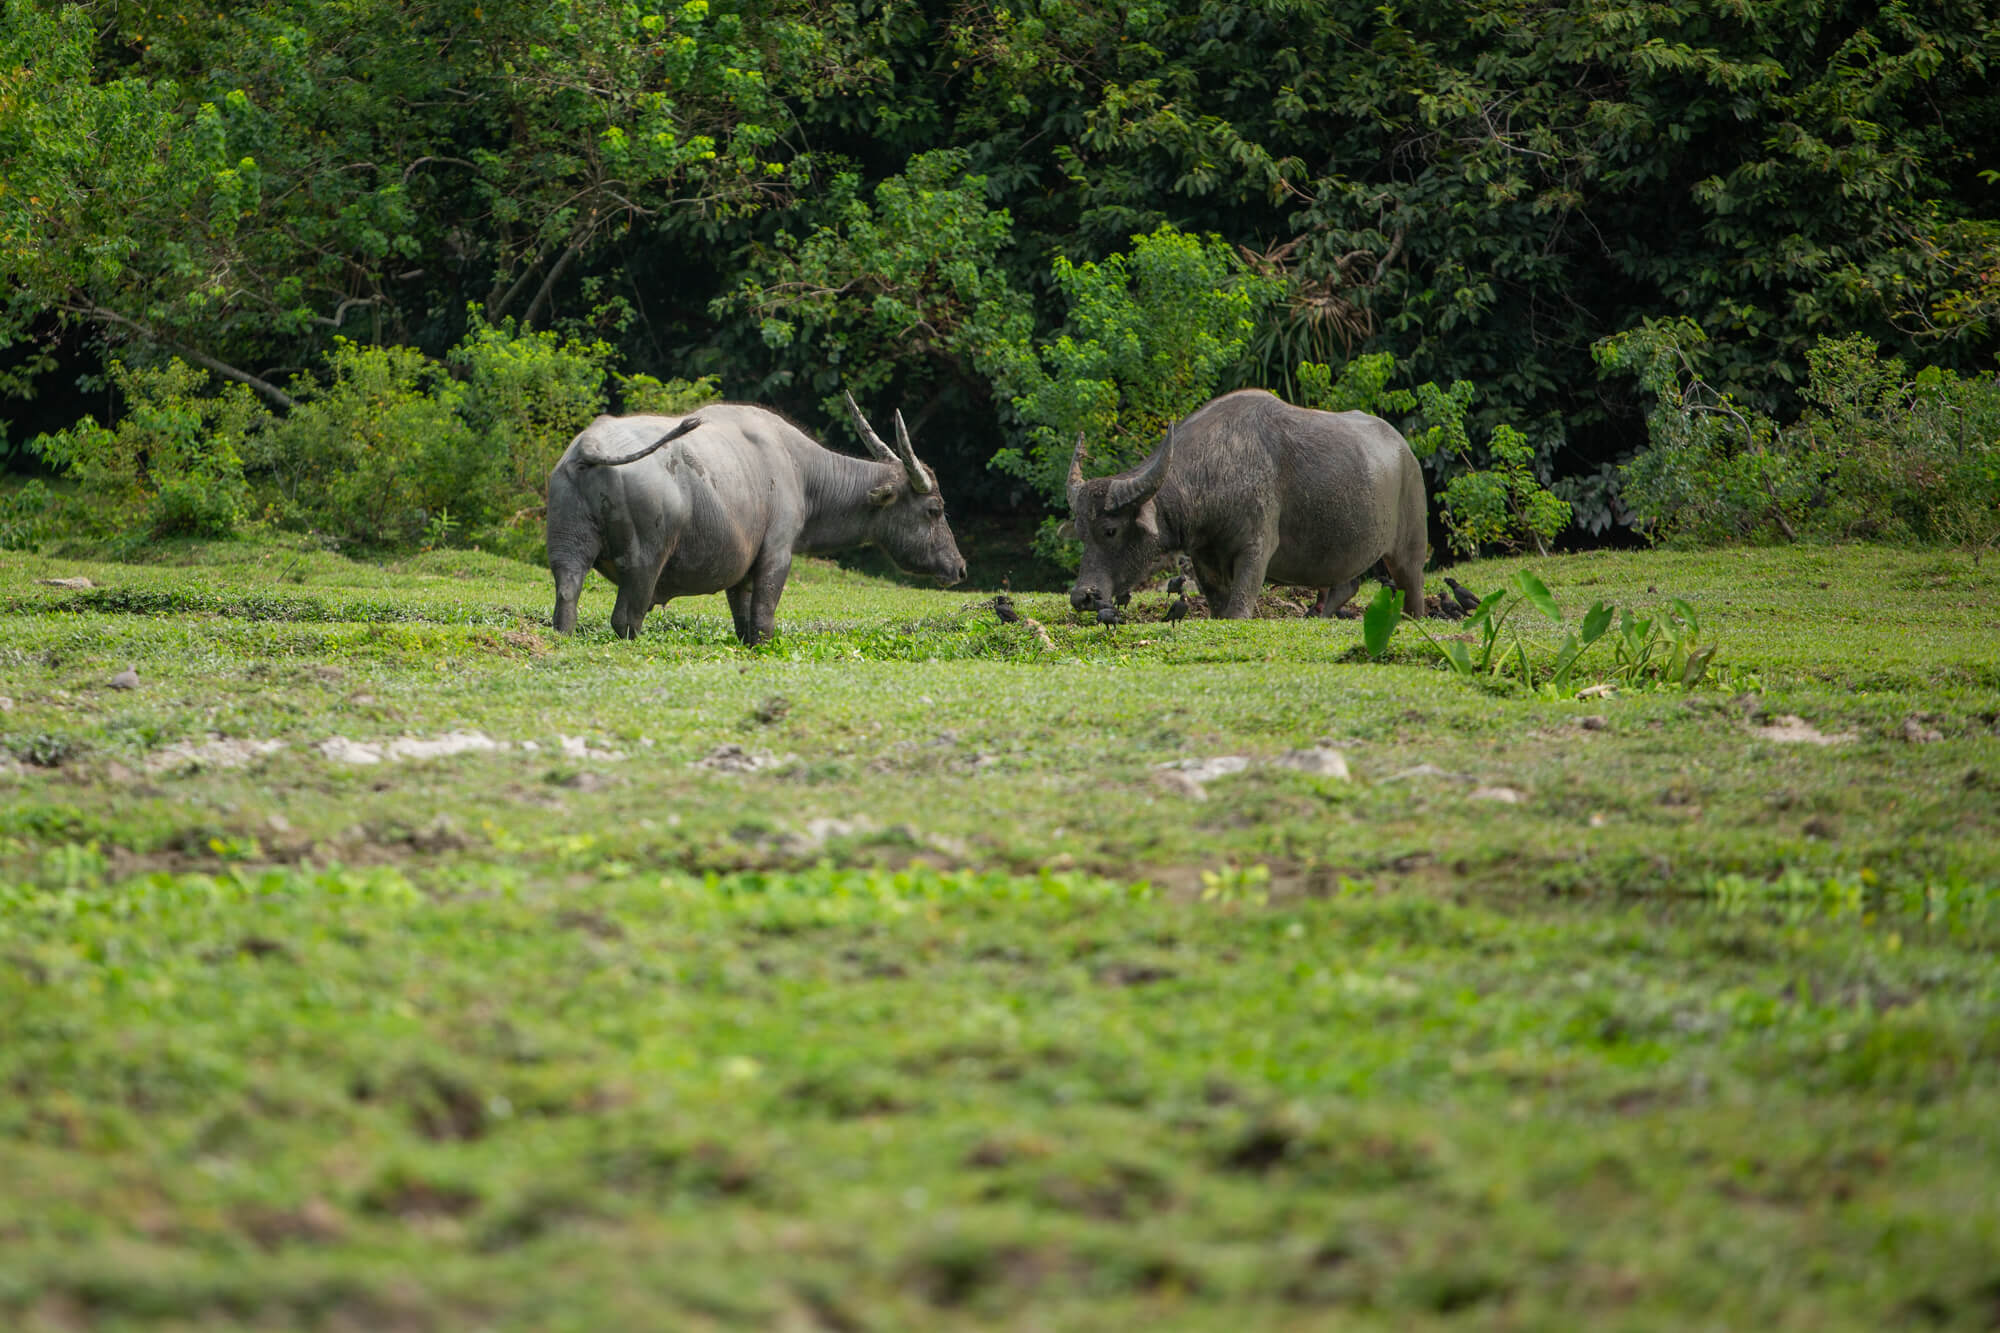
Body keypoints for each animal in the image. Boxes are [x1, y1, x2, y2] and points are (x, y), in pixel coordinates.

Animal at [540, 394, 960, 644]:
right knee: (626, 619)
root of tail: (590, 443)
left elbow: (743, 621)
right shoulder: (776, 553)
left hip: (567, 551)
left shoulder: (741, 571)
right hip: (644, 563)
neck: (800, 470)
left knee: (567, 595)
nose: (959, 567)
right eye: (935, 510)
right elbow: (762, 620)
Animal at [1072, 386, 1432, 620]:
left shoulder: (1256, 547)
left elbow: (1240, 605)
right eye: (1081, 533)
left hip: (1409, 549)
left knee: (1411, 586)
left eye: (1109, 530)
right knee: (1346, 585)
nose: (1082, 596)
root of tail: (1405, 450)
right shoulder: (1203, 556)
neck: (1215, 469)